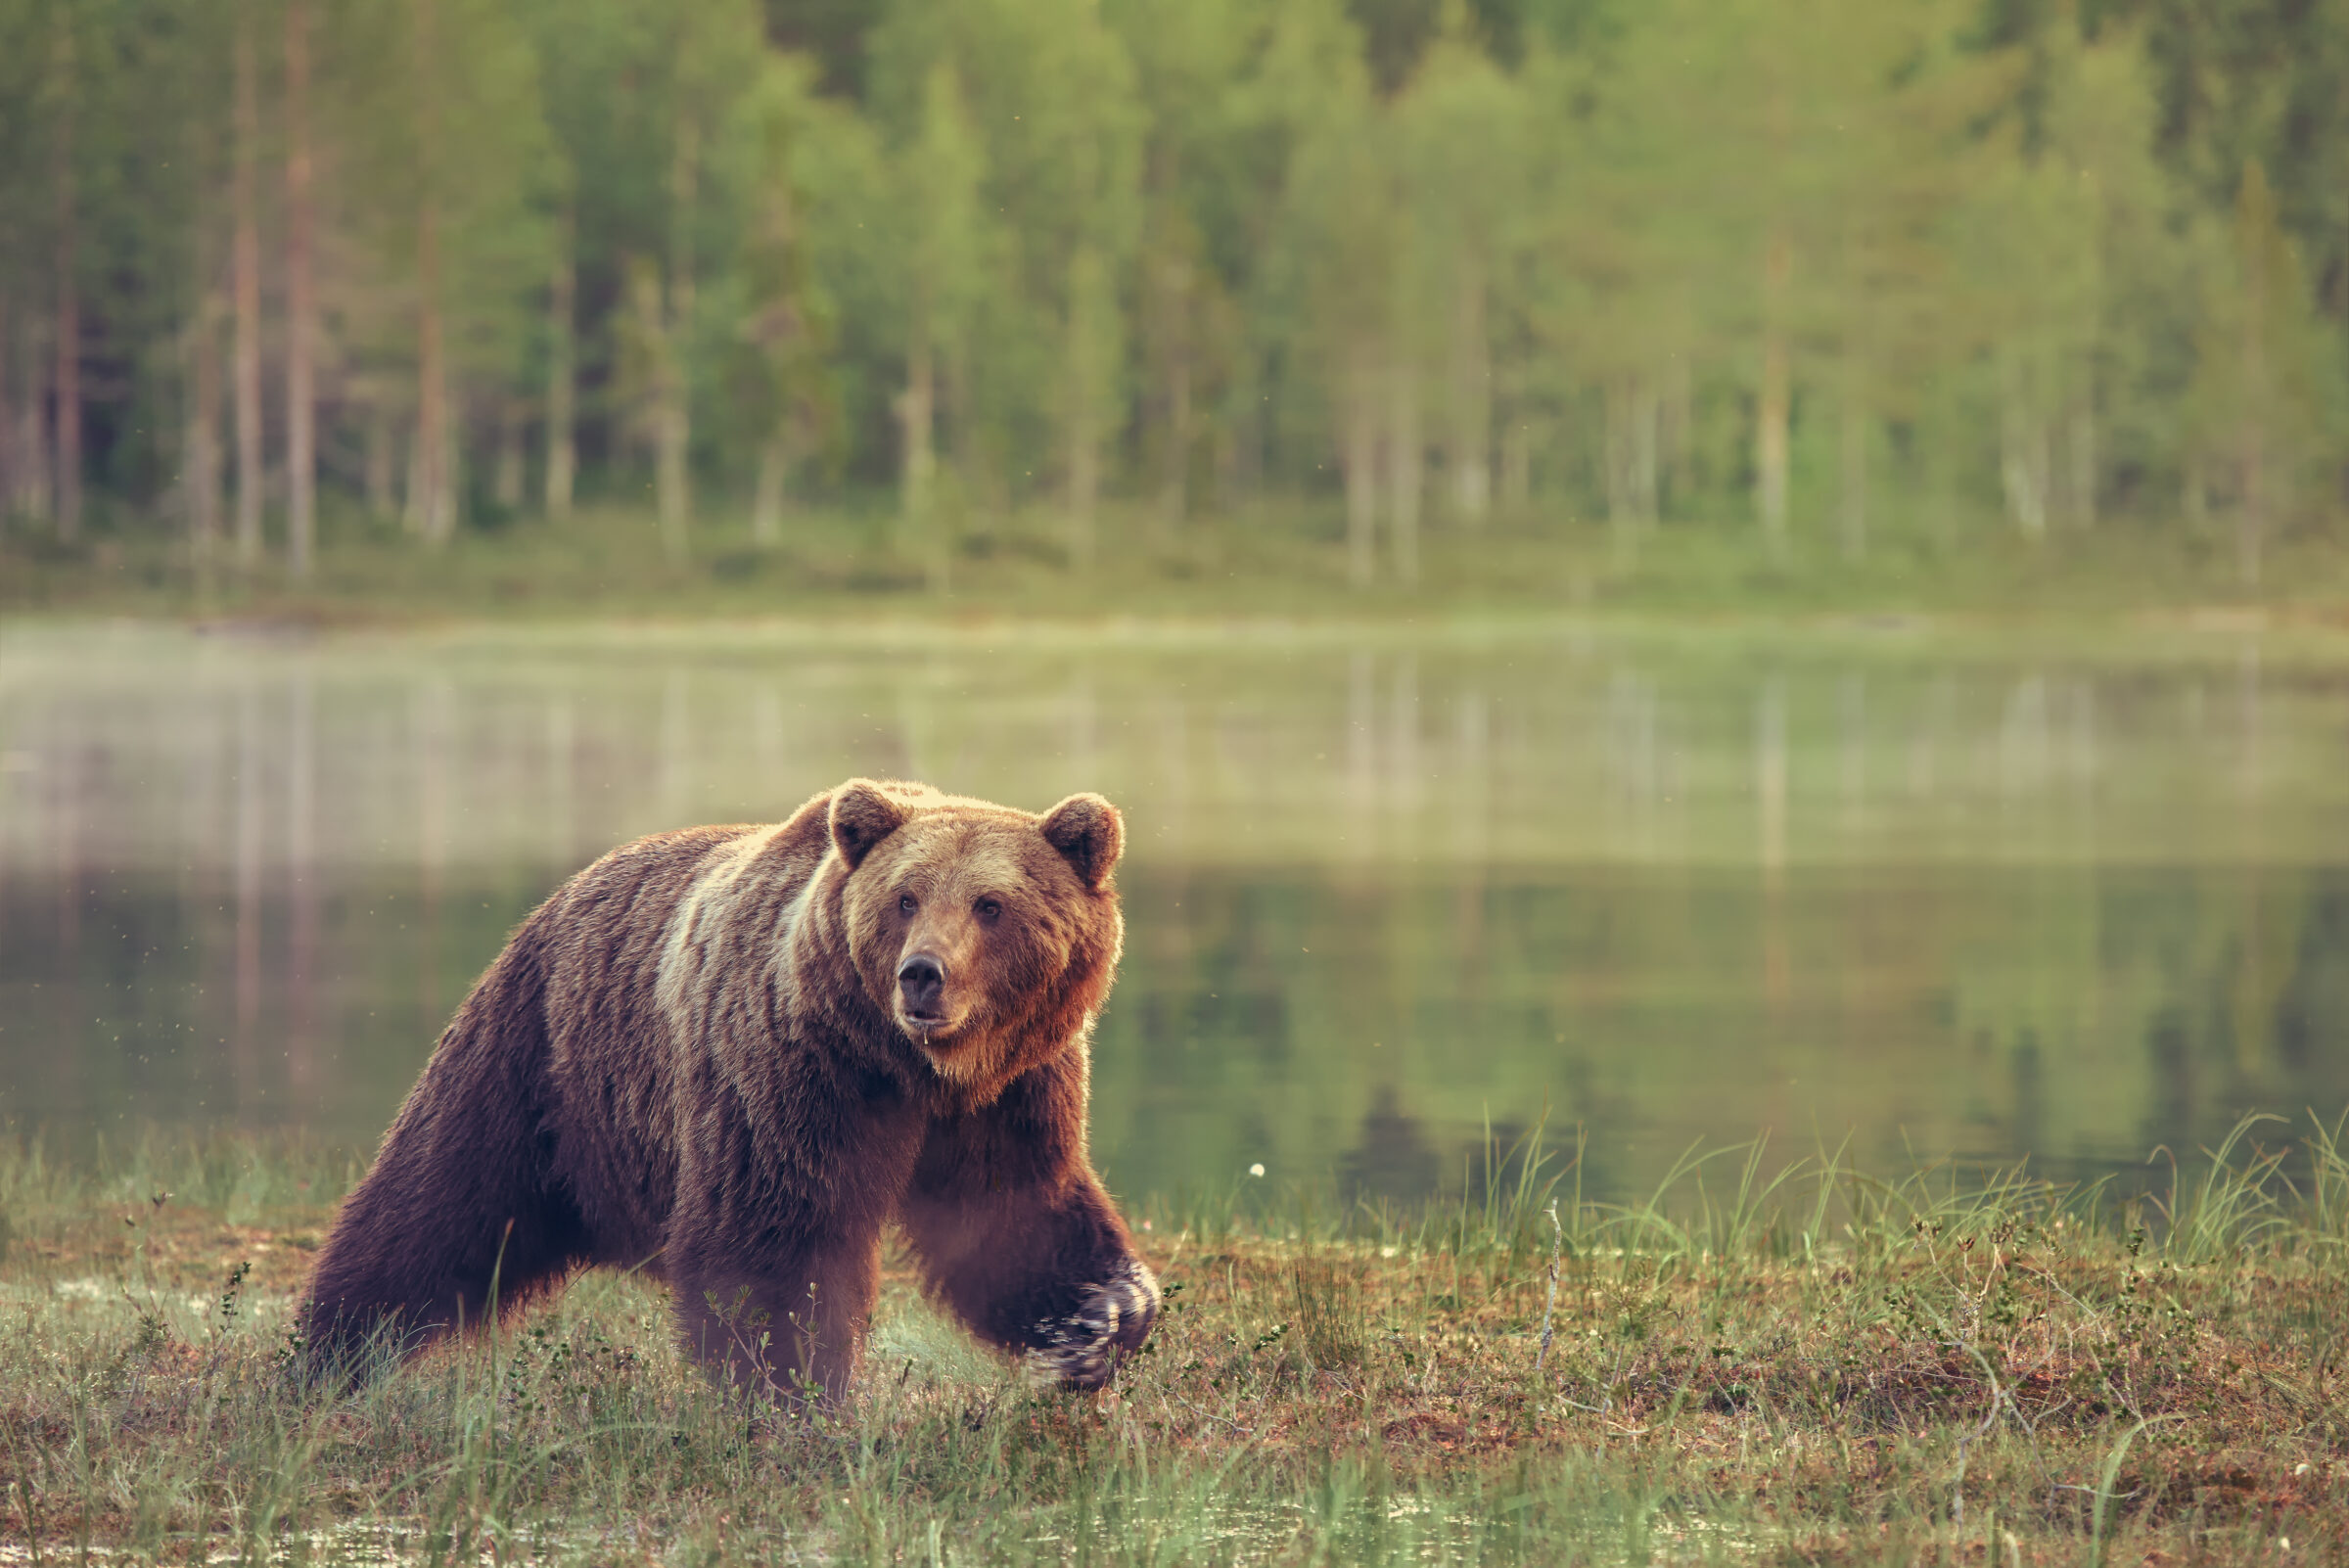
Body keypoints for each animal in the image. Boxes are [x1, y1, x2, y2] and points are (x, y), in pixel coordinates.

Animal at [299, 778, 1158, 1400]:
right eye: (905, 898)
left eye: (991, 904)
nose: (923, 975)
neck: (910, 1067)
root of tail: (564, 892)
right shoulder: (794, 1073)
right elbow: (774, 1238)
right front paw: (796, 1398)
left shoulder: (1013, 1092)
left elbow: (1015, 1216)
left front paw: (1101, 1319)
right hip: (541, 1063)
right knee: (432, 1210)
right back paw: (325, 1361)